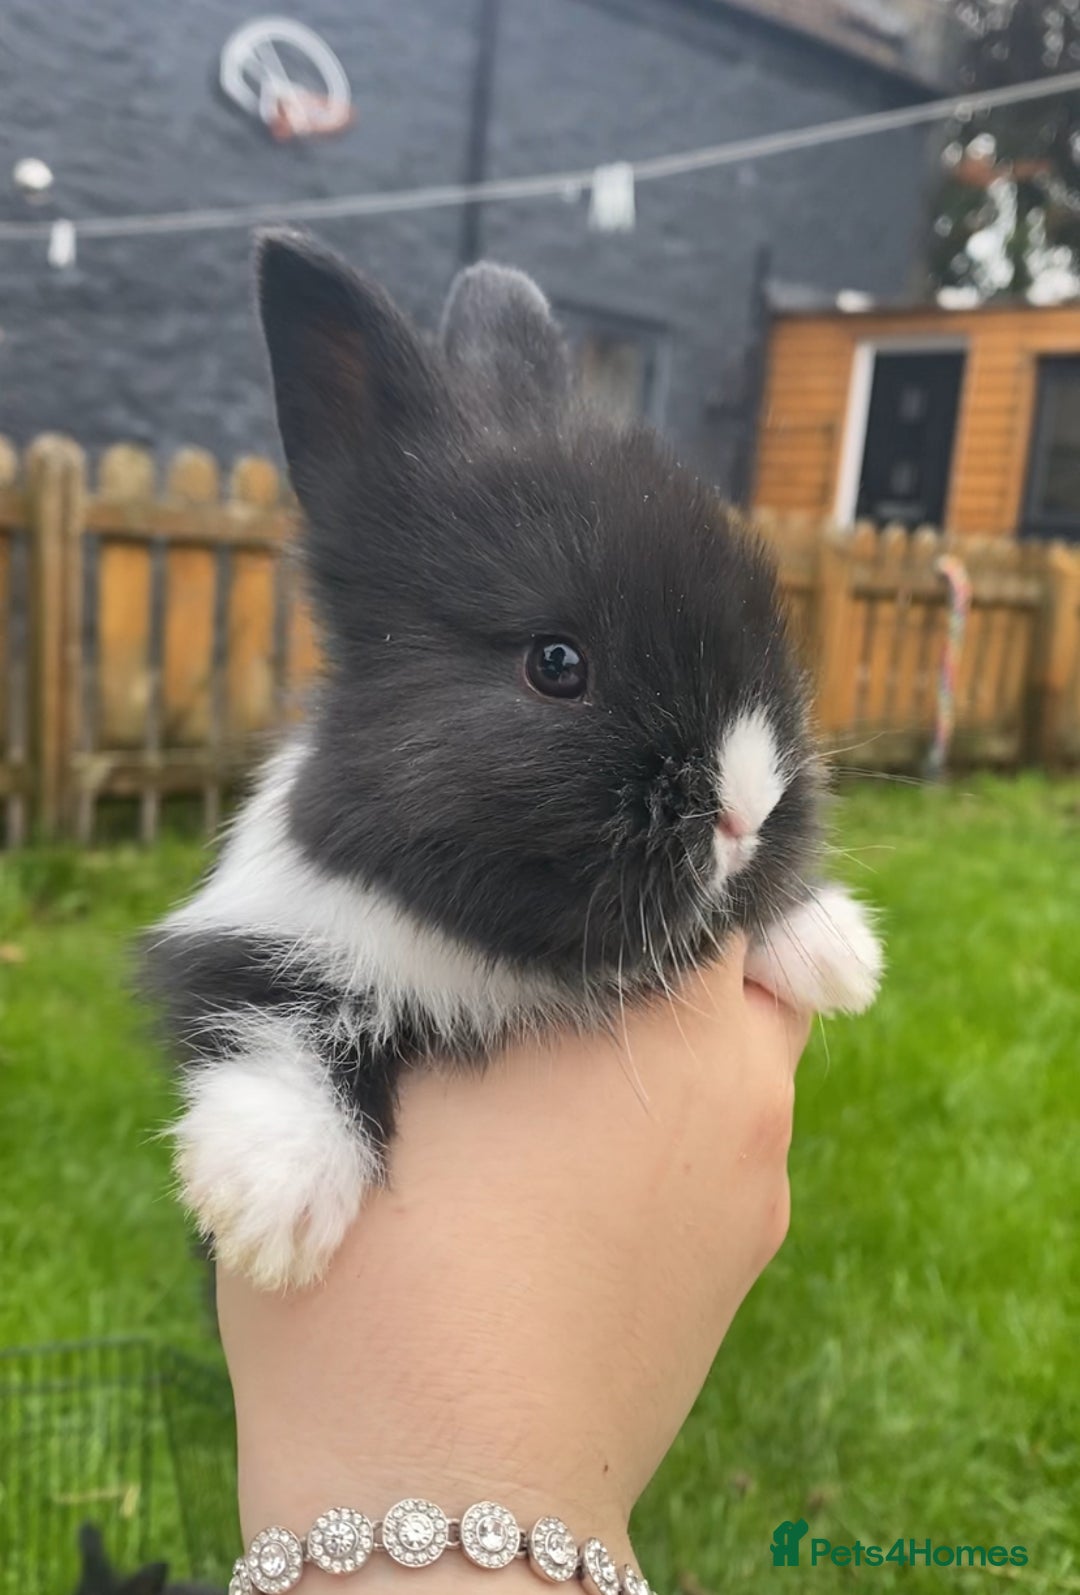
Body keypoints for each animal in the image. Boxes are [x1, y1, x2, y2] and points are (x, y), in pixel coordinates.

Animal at [144, 231, 882, 1292]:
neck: (504, 955)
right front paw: (270, 1204)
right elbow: (271, 1015)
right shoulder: (251, 939)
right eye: (556, 663)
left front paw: (836, 950)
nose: (746, 811)